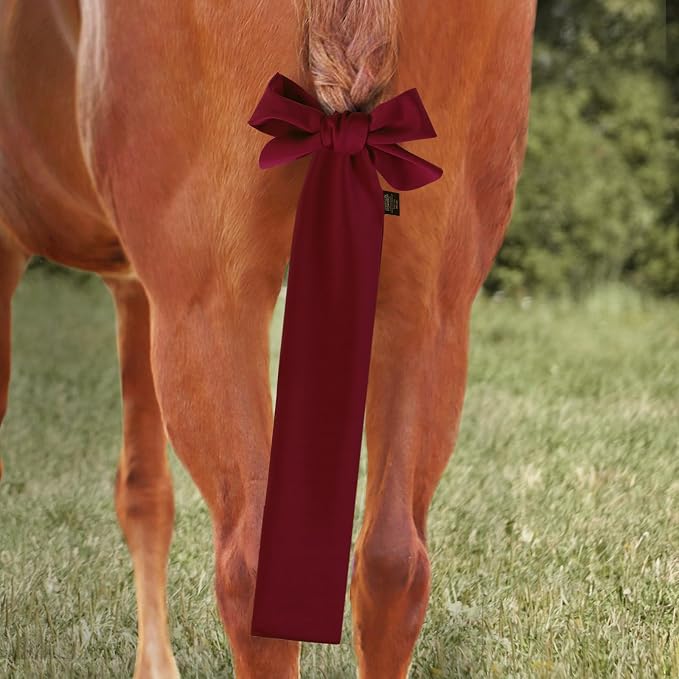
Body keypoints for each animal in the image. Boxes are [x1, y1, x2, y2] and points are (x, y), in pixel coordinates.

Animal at [0, 1, 537, 676]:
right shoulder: (134, 289)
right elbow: (145, 492)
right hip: (429, 310)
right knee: (393, 564)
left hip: (207, 306)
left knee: (250, 569)